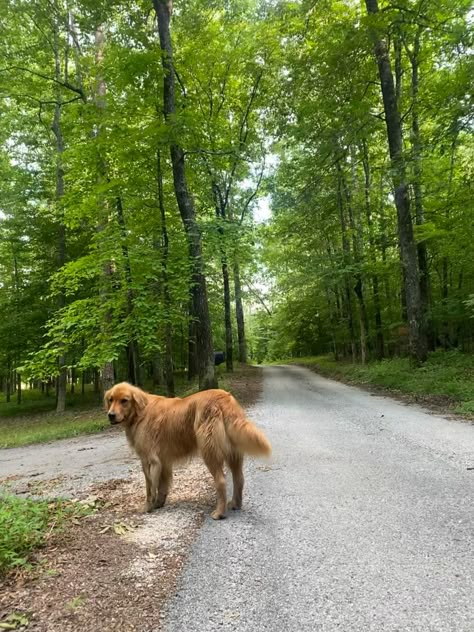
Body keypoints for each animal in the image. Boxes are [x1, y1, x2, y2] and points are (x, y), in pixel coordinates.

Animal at [105, 380, 272, 520]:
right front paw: (158, 503)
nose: (110, 415)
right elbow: (162, 486)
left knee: (221, 481)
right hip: (234, 454)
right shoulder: (163, 461)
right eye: (111, 400)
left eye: (124, 400)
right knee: (239, 479)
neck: (140, 412)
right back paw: (235, 504)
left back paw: (219, 512)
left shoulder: (149, 460)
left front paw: (147, 507)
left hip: (209, 452)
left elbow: (149, 488)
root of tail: (224, 398)